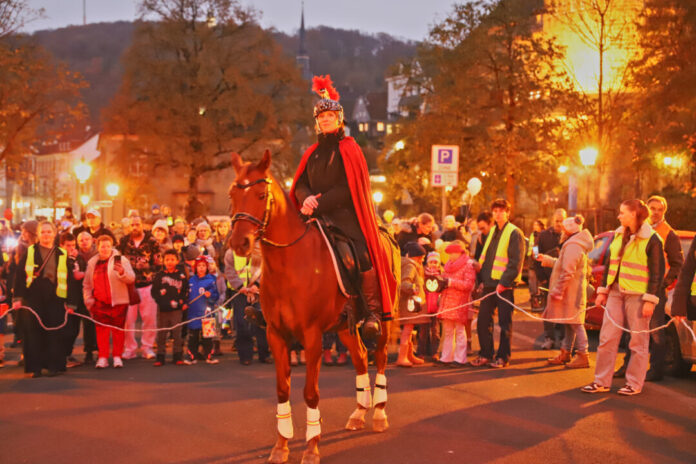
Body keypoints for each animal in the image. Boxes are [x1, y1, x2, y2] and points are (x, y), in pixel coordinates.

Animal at [230, 150, 396, 462]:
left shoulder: (312, 336)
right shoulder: (275, 334)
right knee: (360, 357)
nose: (239, 243)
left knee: (379, 357)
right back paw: (359, 412)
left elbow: (310, 393)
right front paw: (281, 445)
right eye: (232, 194)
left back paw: (379, 414)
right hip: (345, 326)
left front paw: (311, 446)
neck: (290, 262)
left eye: (261, 195)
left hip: (386, 318)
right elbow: (282, 390)